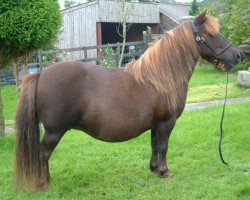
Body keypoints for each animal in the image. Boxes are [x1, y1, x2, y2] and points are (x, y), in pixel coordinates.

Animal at [15, 11, 240, 191]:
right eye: (211, 34)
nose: (237, 55)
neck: (161, 77)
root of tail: (41, 74)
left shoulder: (155, 125)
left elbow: (154, 145)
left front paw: (154, 169)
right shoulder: (166, 123)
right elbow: (164, 147)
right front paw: (165, 172)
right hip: (54, 131)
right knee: (43, 154)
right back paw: (44, 183)